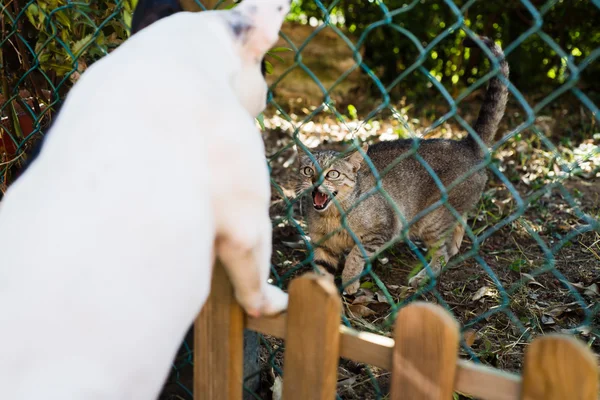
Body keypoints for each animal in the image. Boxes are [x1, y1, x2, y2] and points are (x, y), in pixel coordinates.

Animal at [298, 36, 508, 294]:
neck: (332, 217)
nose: (314, 182)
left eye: (333, 174)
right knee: (458, 226)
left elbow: (356, 255)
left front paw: (350, 281)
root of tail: (465, 143)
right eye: (308, 171)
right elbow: (321, 271)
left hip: (431, 220)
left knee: (442, 253)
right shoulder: (322, 246)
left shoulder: (382, 230)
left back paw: (423, 277)